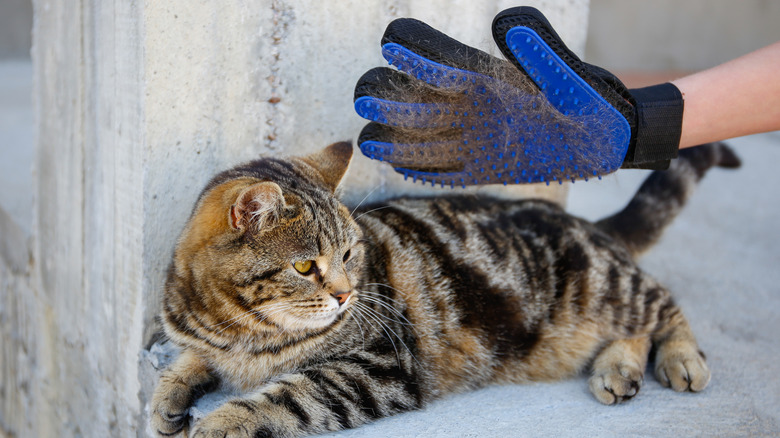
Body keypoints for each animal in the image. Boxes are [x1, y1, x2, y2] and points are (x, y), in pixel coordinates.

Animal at [151, 142, 736, 436]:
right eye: (304, 266)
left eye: (349, 255)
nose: (345, 296)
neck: (240, 327)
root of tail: (588, 226)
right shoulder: (201, 339)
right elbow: (188, 359)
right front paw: (169, 398)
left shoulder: (380, 367)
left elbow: (290, 394)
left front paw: (225, 420)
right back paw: (619, 368)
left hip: (606, 285)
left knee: (662, 303)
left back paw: (680, 358)